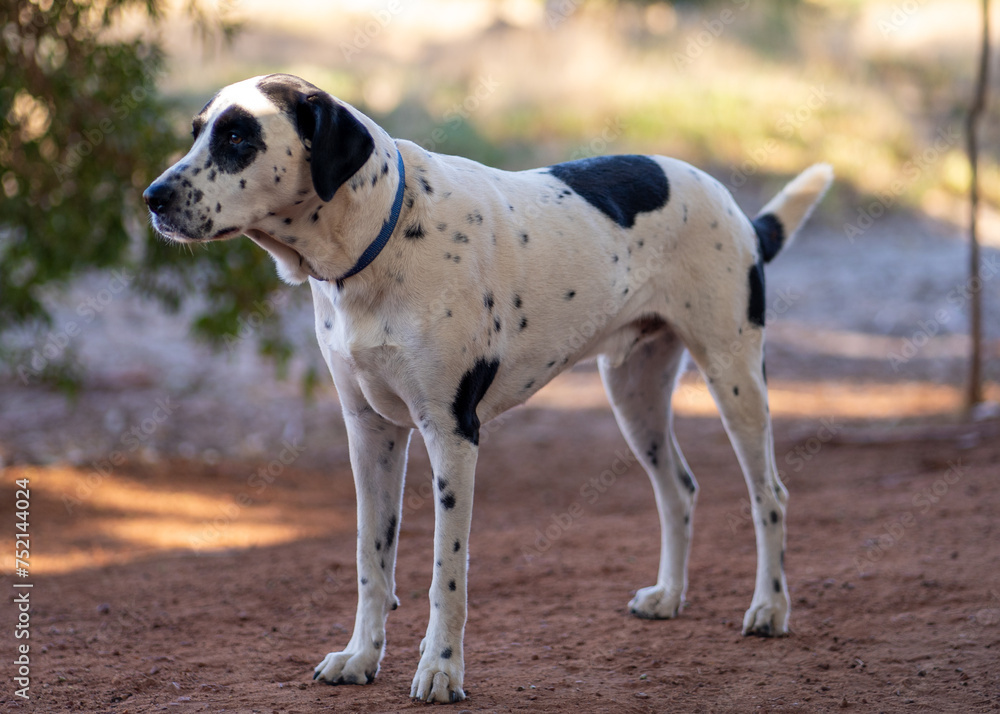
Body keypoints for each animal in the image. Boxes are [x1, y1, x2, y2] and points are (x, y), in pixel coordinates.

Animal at [145, 73, 832, 700]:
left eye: (238, 137)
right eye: (196, 131)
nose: (152, 196)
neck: (383, 236)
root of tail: (737, 210)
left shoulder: (452, 437)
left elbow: (446, 574)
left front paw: (441, 670)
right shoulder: (370, 433)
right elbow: (372, 560)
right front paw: (361, 657)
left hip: (734, 376)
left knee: (769, 495)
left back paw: (770, 608)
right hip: (633, 394)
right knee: (679, 490)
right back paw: (669, 595)